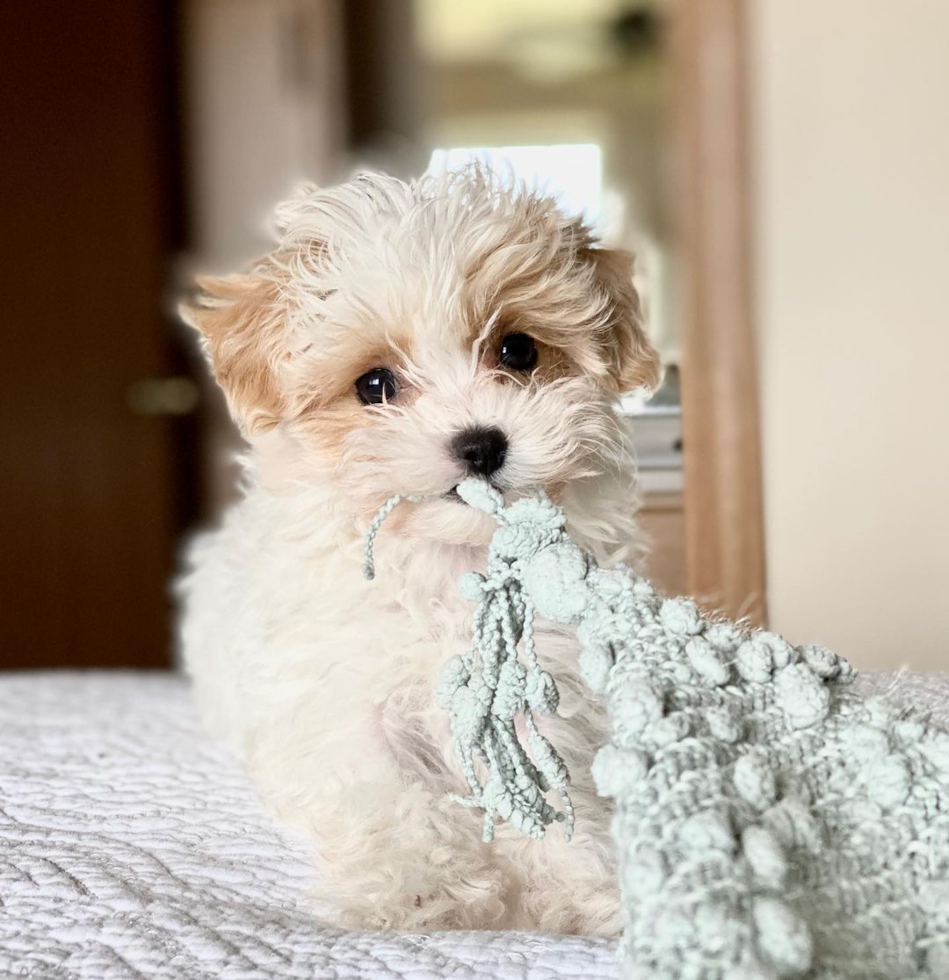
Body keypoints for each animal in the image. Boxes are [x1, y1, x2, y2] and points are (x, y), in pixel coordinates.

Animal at [176, 167, 660, 936]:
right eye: (374, 385)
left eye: (517, 351)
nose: (481, 444)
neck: (448, 562)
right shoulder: (338, 700)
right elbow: (387, 790)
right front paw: (422, 887)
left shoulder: (537, 690)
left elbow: (550, 785)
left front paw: (584, 884)